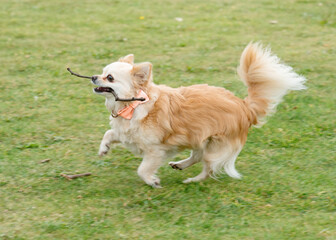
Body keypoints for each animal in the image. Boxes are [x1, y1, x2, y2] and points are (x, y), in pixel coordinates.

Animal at [92, 43, 308, 189]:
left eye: (110, 78)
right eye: (102, 72)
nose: (94, 77)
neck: (132, 105)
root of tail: (245, 106)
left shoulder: (155, 150)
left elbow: (143, 169)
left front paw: (153, 181)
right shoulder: (125, 132)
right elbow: (109, 133)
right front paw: (104, 148)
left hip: (214, 147)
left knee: (208, 169)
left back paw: (192, 180)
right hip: (199, 138)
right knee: (197, 156)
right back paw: (180, 165)